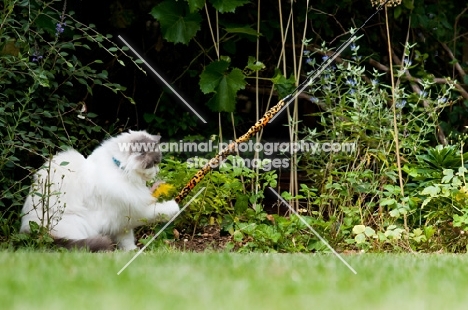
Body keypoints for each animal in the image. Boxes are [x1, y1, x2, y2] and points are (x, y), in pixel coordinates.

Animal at [19, 130, 179, 251]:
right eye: (153, 164)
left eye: (158, 163)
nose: (157, 171)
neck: (120, 169)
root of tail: (33, 232)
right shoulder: (129, 211)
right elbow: (158, 211)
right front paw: (174, 207)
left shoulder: (123, 220)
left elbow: (127, 240)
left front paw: (132, 251)